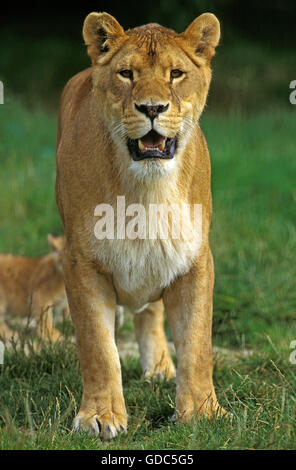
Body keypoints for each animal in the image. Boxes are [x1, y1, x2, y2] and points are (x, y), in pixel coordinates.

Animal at [55, 10, 224, 436]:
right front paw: (100, 416)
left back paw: (159, 368)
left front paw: (203, 413)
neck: (147, 189)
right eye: (126, 74)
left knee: (151, 311)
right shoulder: (80, 263)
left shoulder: (195, 260)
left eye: (176, 74)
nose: (152, 108)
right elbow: (99, 348)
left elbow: (197, 345)